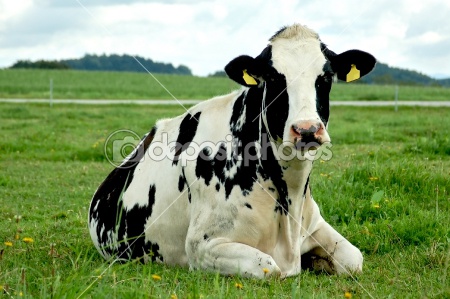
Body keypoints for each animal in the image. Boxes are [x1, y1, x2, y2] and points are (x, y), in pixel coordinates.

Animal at [88, 23, 376, 278]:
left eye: (325, 77)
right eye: (273, 77)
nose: (306, 129)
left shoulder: (314, 224)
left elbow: (354, 259)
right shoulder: (202, 246)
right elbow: (270, 267)